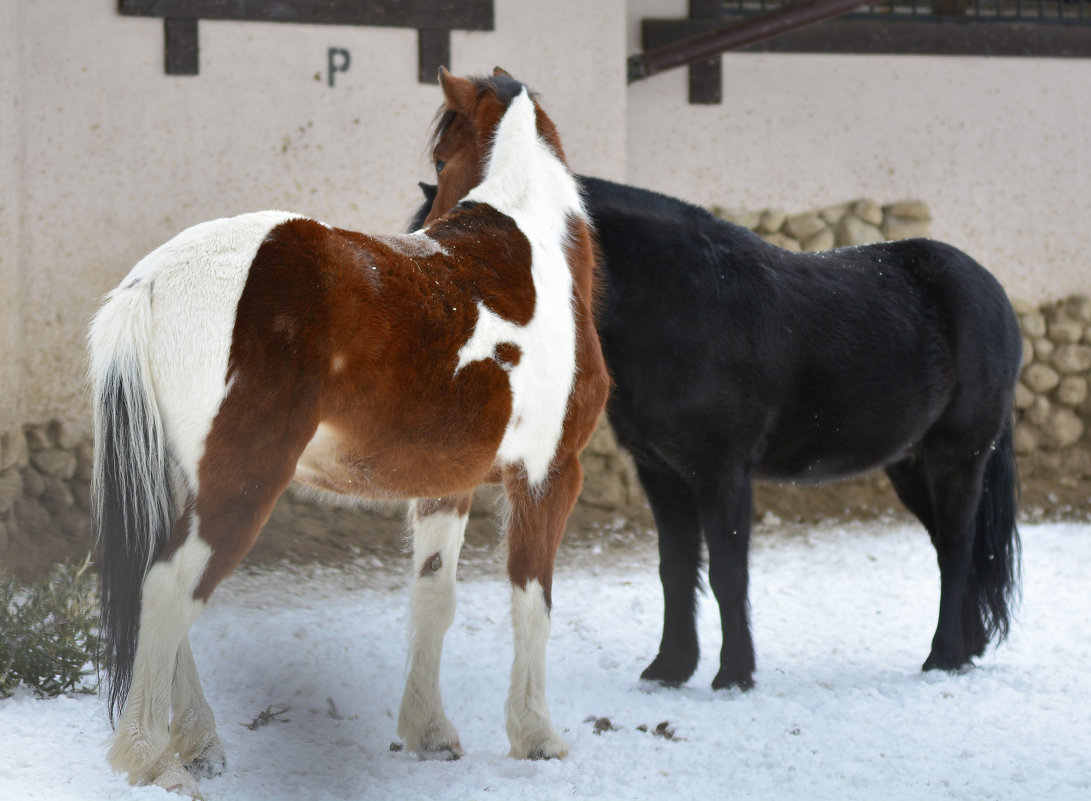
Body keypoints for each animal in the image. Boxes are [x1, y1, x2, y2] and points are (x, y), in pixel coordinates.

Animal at [89, 66, 610, 794]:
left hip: (182, 483)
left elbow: (433, 599)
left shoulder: (446, 486)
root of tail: (154, 280)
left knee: (163, 592)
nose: (420, 219)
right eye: (439, 160)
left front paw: (429, 732)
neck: (530, 254)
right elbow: (530, 602)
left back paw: (196, 743)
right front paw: (536, 736)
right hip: (241, 481)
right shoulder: (547, 474)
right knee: (168, 589)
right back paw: (150, 759)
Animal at [412, 171, 1025, 698]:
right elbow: (677, 570)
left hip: (956, 459)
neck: (682, 303)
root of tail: (992, 292)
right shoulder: (662, 473)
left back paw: (943, 656)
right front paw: (670, 667)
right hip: (910, 466)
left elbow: (730, 571)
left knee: (957, 548)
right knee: (956, 550)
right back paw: (966, 651)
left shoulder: (722, 473)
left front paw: (734, 675)